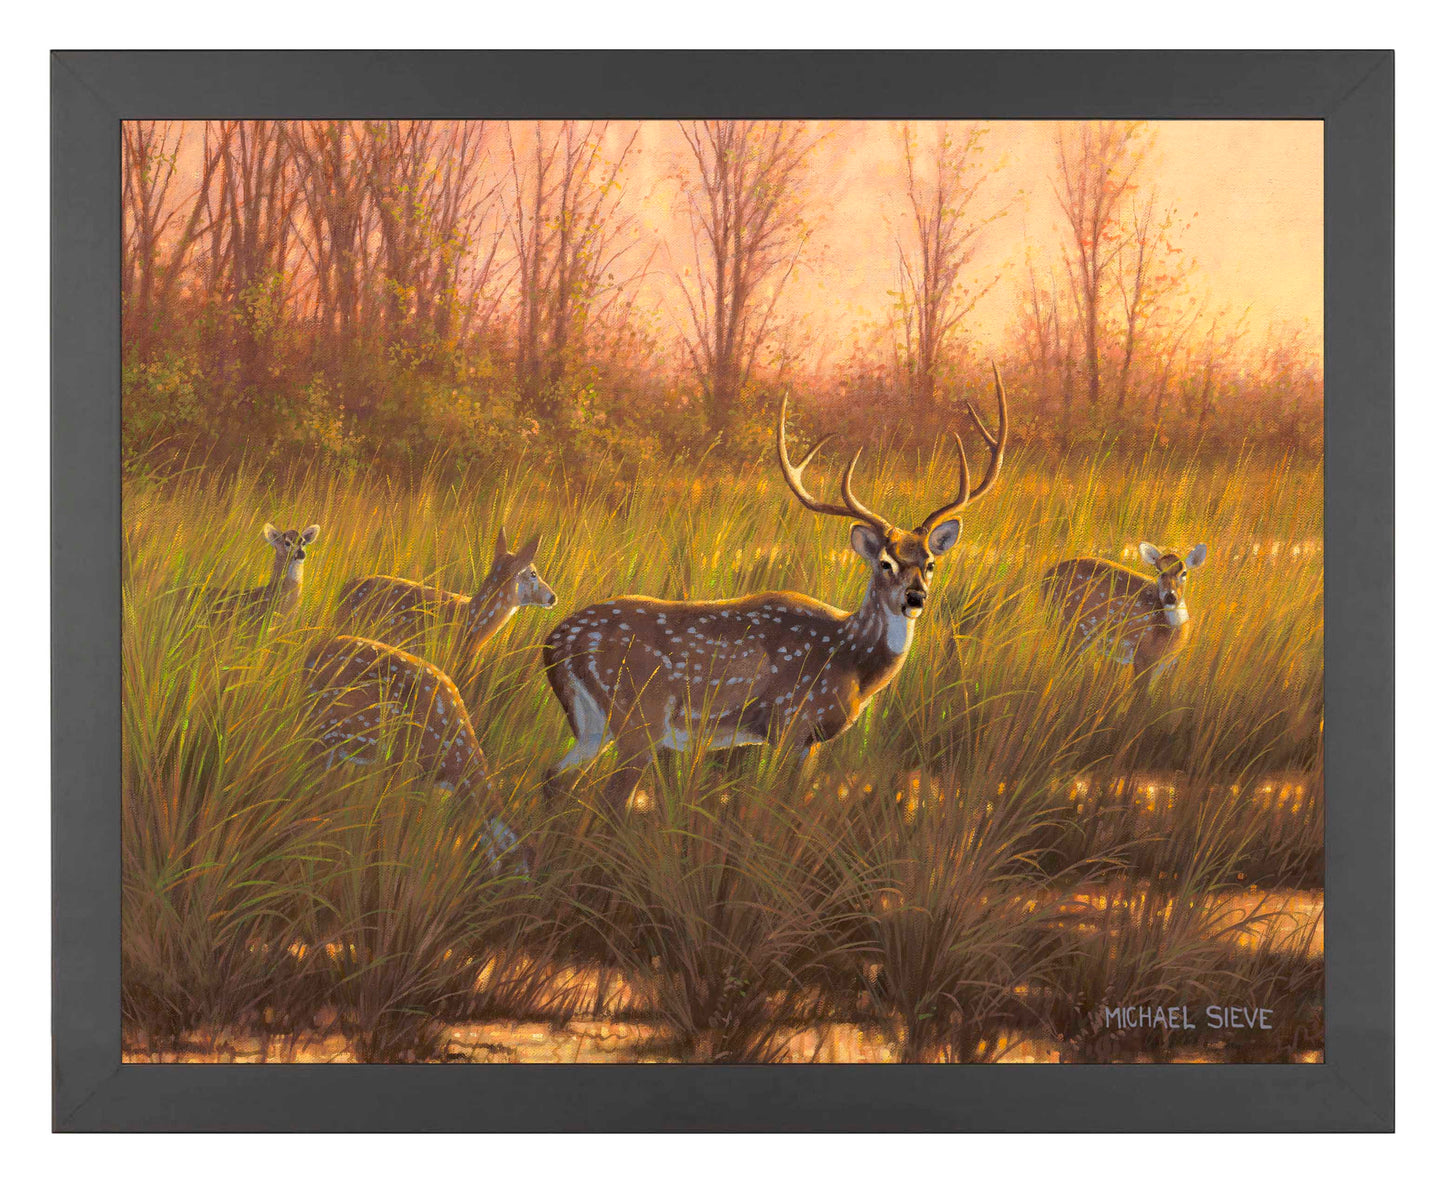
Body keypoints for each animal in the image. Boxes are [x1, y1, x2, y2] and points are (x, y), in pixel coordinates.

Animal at [540, 366, 1009, 814]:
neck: (852, 660)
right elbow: (775, 804)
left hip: (593, 725)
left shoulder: (809, 741)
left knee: (552, 778)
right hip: (640, 717)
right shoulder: (791, 721)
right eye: (885, 563)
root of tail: (555, 642)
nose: (915, 598)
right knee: (607, 798)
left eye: (930, 563)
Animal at [1042, 542, 1207, 687]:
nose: (1170, 596)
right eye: (1159, 571)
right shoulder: (1143, 658)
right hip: (1072, 626)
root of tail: (1046, 575)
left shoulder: (1161, 666)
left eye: (1184, 572)